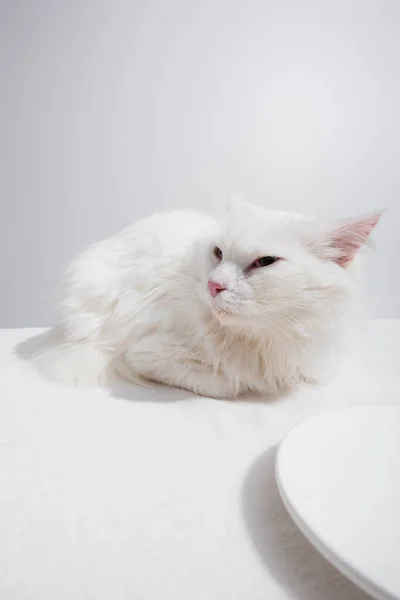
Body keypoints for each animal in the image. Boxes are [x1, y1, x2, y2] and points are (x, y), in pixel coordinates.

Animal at [32, 197, 380, 400]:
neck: (265, 340)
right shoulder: (143, 353)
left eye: (266, 262)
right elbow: (229, 385)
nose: (214, 285)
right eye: (218, 253)